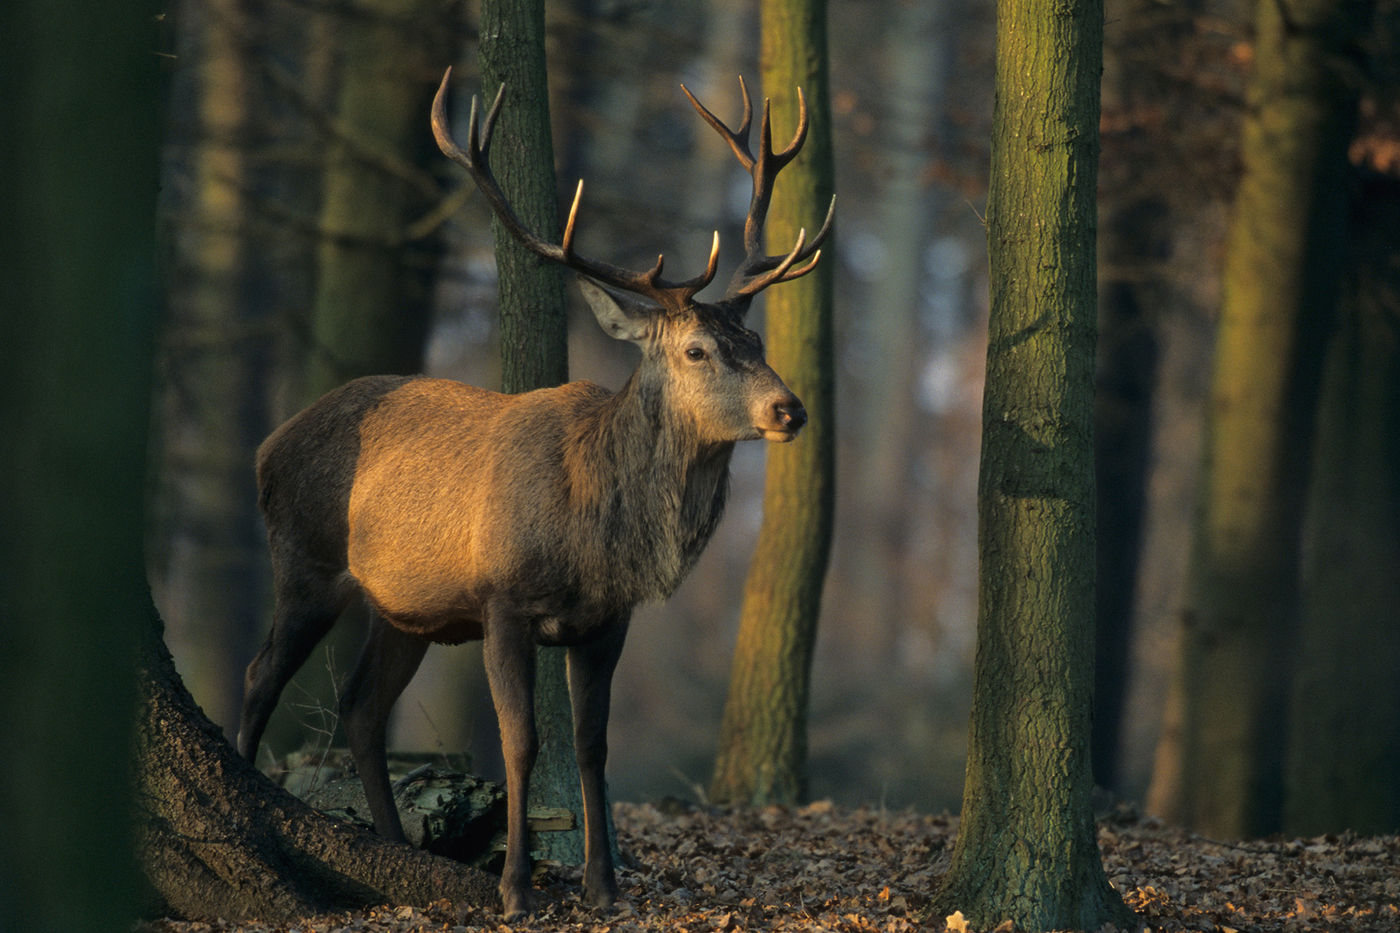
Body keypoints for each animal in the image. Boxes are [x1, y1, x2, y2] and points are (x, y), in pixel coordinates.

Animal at [236, 67, 834, 913]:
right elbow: (520, 741)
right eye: (697, 348)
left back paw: (395, 846)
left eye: (755, 339)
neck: (595, 532)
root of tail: (266, 446)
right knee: (261, 675)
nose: (790, 408)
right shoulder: (502, 601)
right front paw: (517, 886)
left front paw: (604, 885)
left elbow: (592, 743)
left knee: (360, 704)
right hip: (307, 562)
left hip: (407, 608)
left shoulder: (607, 620)